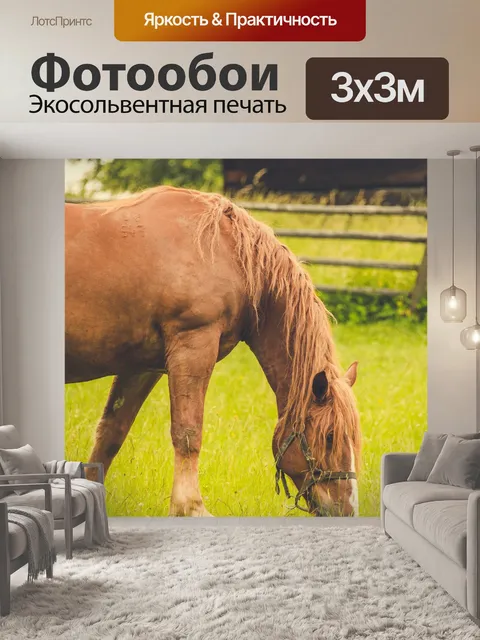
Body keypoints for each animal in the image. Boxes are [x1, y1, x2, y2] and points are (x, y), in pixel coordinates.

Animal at [65, 186, 361, 517]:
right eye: (330, 437)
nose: (348, 509)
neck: (228, 252)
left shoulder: (141, 367)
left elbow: (111, 433)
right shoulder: (194, 344)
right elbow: (188, 433)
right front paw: (190, 507)